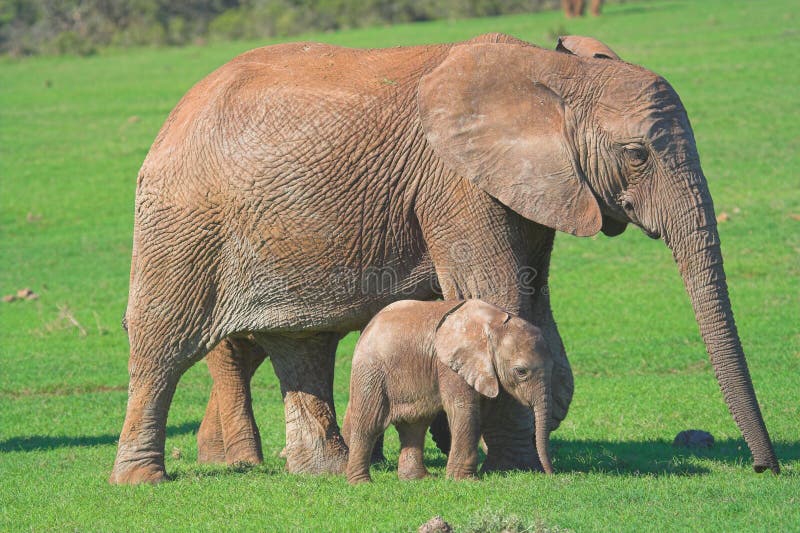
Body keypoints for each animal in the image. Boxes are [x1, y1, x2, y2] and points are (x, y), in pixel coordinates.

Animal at [342, 300, 555, 484]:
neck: (493, 322)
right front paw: (465, 481)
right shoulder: (448, 364)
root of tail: (368, 327)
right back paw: (361, 483)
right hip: (371, 371)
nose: (550, 474)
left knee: (415, 425)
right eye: (521, 372)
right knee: (369, 423)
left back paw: (419, 479)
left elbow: (482, 413)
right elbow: (463, 409)